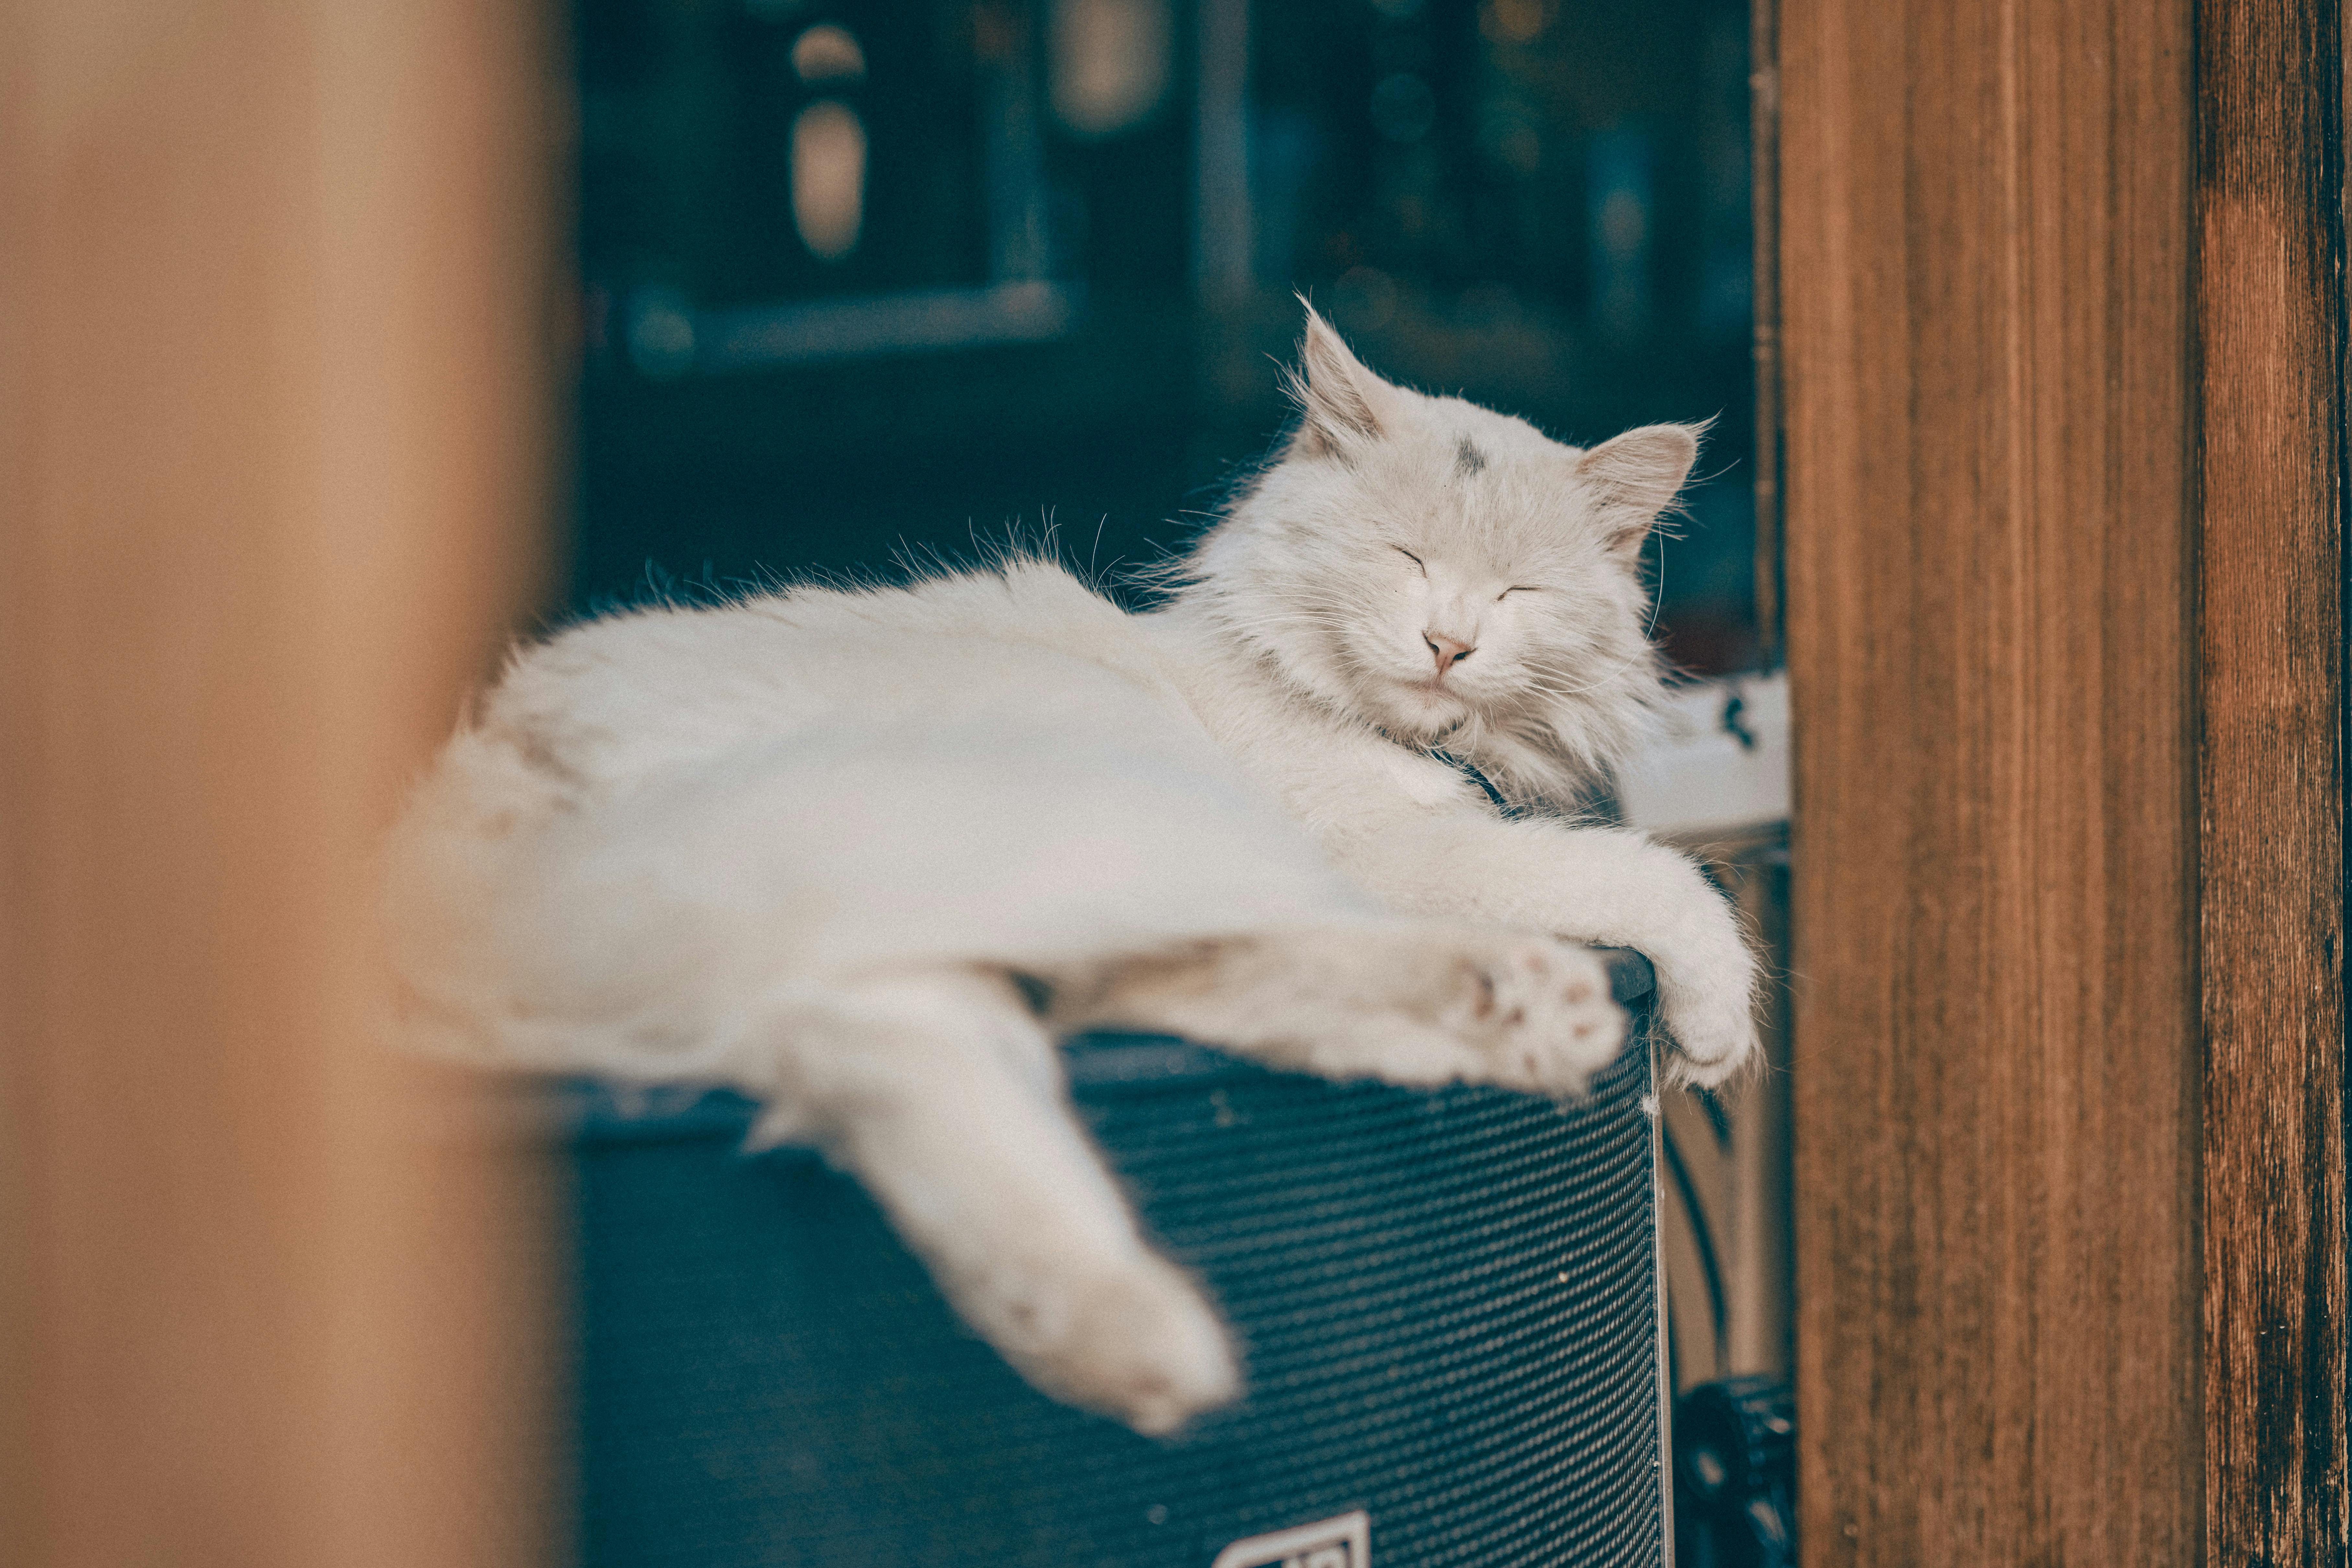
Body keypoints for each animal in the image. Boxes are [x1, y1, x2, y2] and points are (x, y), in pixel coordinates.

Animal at [381, 306, 1750, 1438]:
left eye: (1517, 593)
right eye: (1405, 560)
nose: (1449, 643)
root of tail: (475, 779)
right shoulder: (1389, 849)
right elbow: (1643, 878)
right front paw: (1714, 1021)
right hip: (1074, 820)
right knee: (897, 1033)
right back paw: (1155, 1337)